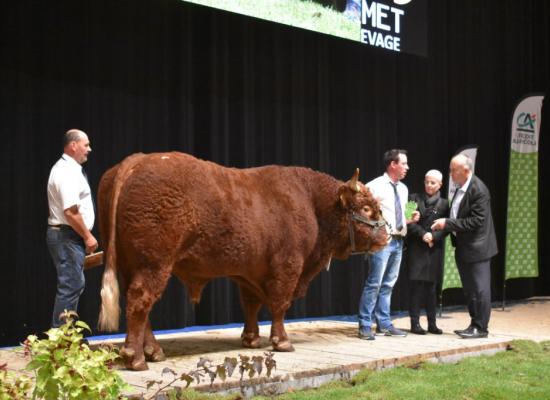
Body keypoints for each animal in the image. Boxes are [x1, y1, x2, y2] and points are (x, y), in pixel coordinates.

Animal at [99, 152, 390, 368]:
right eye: (366, 208)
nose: (387, 236)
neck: (310, 200)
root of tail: (137, 160)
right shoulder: (288, 266)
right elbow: (279, 304)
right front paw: (282, 341)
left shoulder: (248, 272)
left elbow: (251, 304)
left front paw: (250, 339)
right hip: (154, 265)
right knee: (140, 301)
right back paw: (136, 358)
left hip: (130, 266)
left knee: (138, 305)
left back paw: (153, 351)